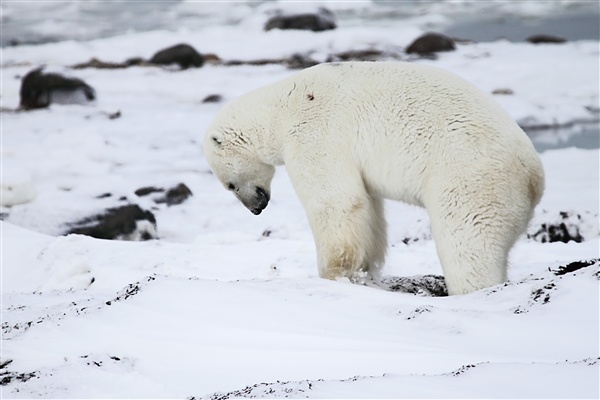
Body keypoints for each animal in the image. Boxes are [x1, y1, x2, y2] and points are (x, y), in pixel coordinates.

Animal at [204, 61, 548, 296]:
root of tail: (534, 177)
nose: (256, 208)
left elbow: (335, 200)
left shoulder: (315, 132)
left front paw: (332, 275)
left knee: (468, 240)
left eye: (230, 184)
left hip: (471, 177)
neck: (280, 107)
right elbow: (368, 208)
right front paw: (364, 272)